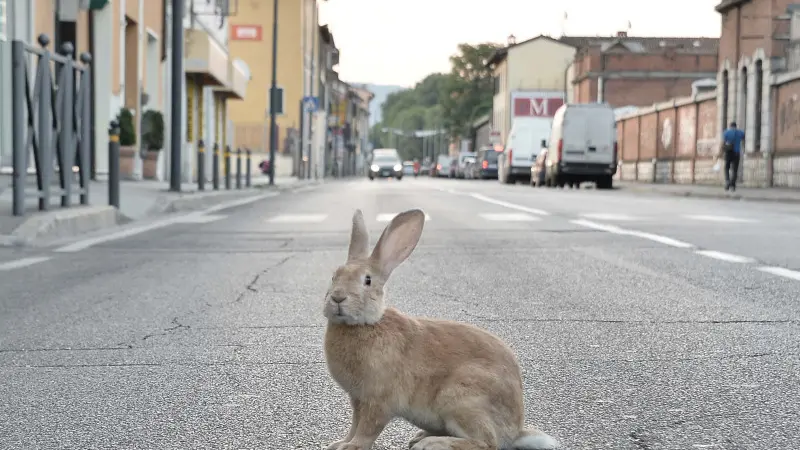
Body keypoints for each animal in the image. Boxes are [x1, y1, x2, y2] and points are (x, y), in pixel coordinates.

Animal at [322, 208, 559, 450]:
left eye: (367, 280)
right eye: (334, 276)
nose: (337, 297)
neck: (365, 324)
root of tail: (515, 431)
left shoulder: (378, 400)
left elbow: (367, 429)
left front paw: (350, 447)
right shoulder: (358, 399)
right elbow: (355, 424)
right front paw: (338, 443)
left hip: (462, 399)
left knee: (486, 442)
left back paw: (431, 443)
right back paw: (420, 437)